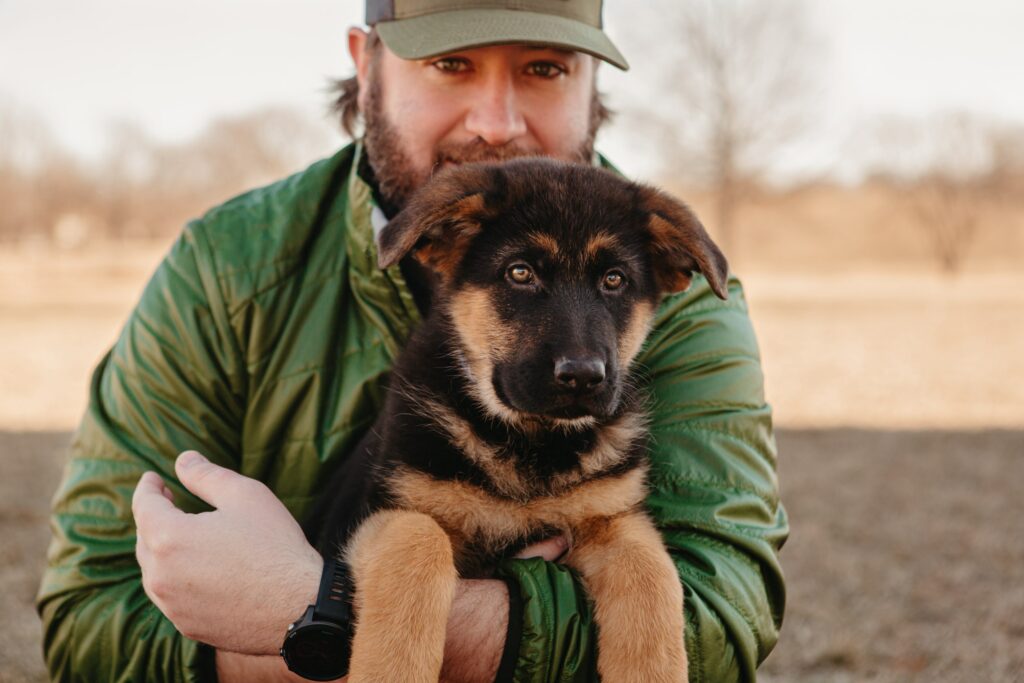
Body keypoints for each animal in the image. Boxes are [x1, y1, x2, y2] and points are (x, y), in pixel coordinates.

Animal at [307, 158, 733, 683]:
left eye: (614, 280)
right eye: (520, 272)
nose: (582, 376)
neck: (532, 444)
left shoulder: (610, 515)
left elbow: (650, 574)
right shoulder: (374, 514)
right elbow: (417, 544)